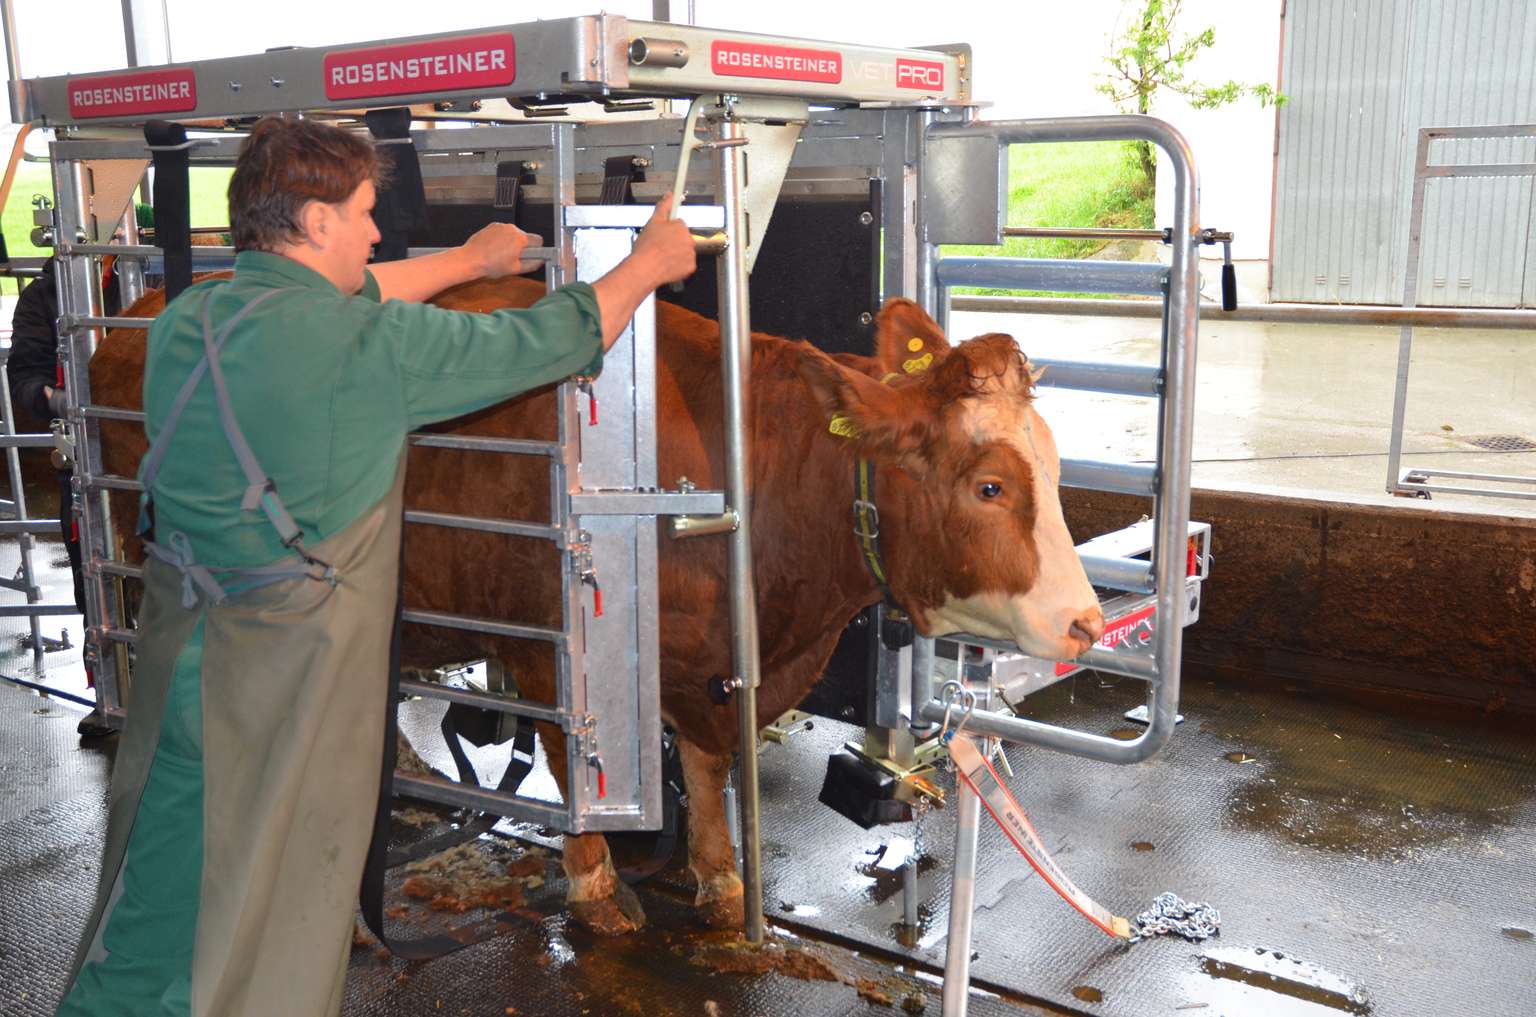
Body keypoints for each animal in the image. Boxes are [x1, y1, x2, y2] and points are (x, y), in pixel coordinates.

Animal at [90, 275, 1104, 935]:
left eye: (1055, 464)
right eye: (988, 485)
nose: (1088, 623)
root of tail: (136, 309)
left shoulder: (705, 667)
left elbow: (705, 767)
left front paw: (720, 880)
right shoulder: (547, 646)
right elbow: (568, 760)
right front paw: (594, 886)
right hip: (148, 558)